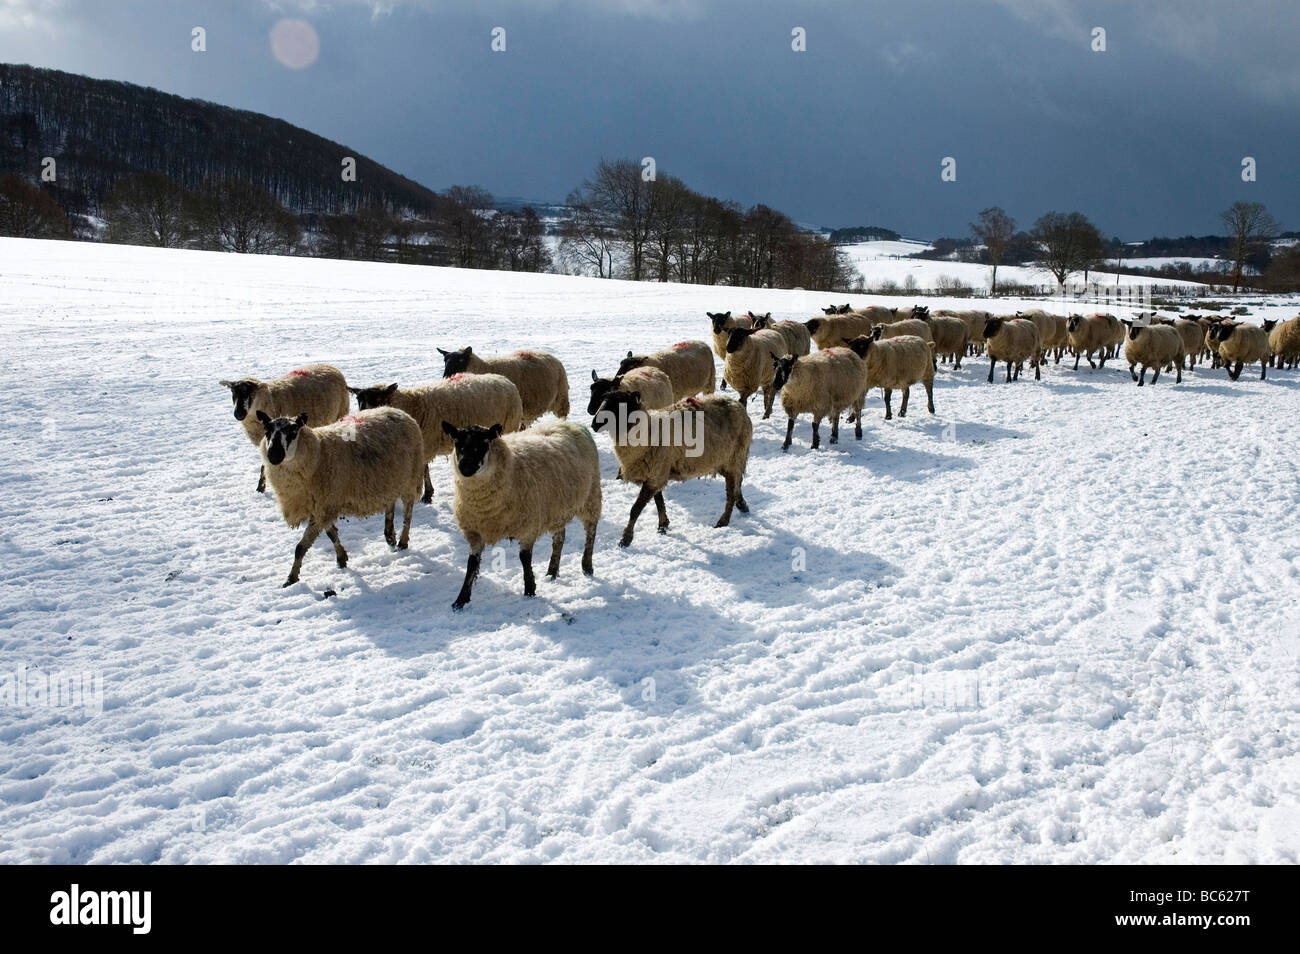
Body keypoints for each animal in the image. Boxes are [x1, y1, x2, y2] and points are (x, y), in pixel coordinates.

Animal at [219, 363, 351, 493]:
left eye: (251, 394)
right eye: (233, 394)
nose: (238, 413)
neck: (270, 399)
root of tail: (330, 367)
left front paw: (261, 485)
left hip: (340, 413)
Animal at [258, 405, 426, 587]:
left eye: (293, 431)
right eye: (267, 430)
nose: (274, 455)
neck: (319, 453)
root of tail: (397, 411)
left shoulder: (324, 505)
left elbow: (300, 547)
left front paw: (291, 578)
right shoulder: (324, 507)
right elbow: (332, 534)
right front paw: (342, 558)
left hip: (410, 478)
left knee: (408, 512)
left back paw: (402, 541)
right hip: (389, 480)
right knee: (390, 503)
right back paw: (389, 535)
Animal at [351, 374, 527, 509]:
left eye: (378, 399)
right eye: (359, 400)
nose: (364, 420)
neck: (413, 404)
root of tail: (506, 380)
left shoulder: (424, 445)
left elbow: (424, 470)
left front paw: (427, 495)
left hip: (509, 425)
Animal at [436, 348, 569, 426]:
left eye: (461, 360)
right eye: (445, 360)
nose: (446, 376)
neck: (484, 367)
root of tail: (548, 354)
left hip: (561, 399)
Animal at [436, 421, 598, 613]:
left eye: (484, 443)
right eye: (457, 443)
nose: (465, 467)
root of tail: (568, 423)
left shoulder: (528, 526)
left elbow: (524, 559)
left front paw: (530, 590)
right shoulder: (474, 532)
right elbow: (471, 564)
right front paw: (460, 600)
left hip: (591, 497)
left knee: (591, 532)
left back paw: (587, 566)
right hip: (558, 509)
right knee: (559, 537)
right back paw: (552, 571)